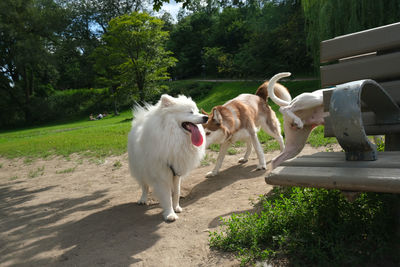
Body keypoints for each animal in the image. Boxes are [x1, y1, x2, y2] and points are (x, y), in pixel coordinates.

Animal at [128, 94, 208, 222]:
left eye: (197, 111)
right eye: (190, 112)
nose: (206, 117)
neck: (172, 136)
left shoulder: (177, 172)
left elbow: (176, 193)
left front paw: (177, 207)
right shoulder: (162, 175)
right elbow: (166, 197)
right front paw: (170, 214)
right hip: (140, 168)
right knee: (144, 186)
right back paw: (143, 199)